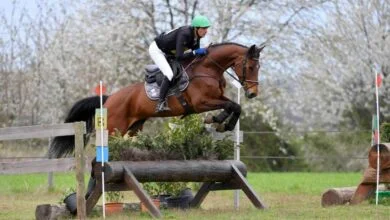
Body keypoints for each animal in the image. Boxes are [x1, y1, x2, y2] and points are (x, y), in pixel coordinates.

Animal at [47, 41, 264, 158]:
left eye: (258, 67)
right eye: (251, 67)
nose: (253, 93)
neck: (208, 69)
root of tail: (108, 99)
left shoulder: (215, 97)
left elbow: (235, 105)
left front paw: (221, 123)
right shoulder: (201, 102)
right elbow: (231, 105)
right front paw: (218, 121)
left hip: (133, 128)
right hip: (115, 128)